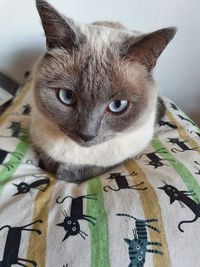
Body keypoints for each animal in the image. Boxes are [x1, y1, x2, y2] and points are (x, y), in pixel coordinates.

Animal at [30, 0, 177, 184]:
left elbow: (95, 168)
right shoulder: (39, 143)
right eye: (67, 96)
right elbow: (47, 161)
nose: (86, 135)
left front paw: (67, 173)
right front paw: (56, 169)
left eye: (117, 105)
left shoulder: (127, 154)